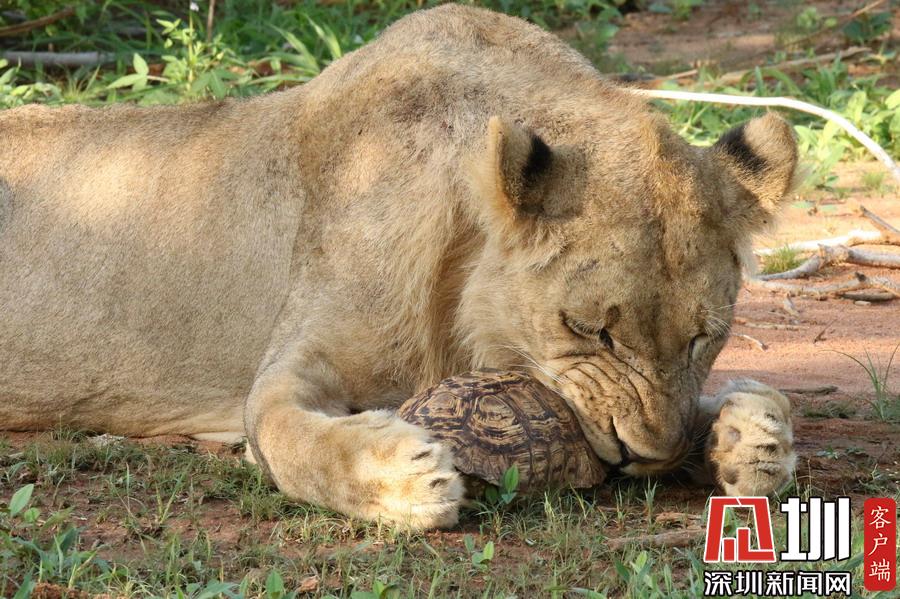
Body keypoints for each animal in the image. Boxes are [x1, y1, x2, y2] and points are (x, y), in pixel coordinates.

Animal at [0, 5, 797, 529]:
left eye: (704, 338)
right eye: (589, 330)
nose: (646, 457)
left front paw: (755, 437)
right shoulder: (289, 367)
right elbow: (289, 437)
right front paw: (403, 478)